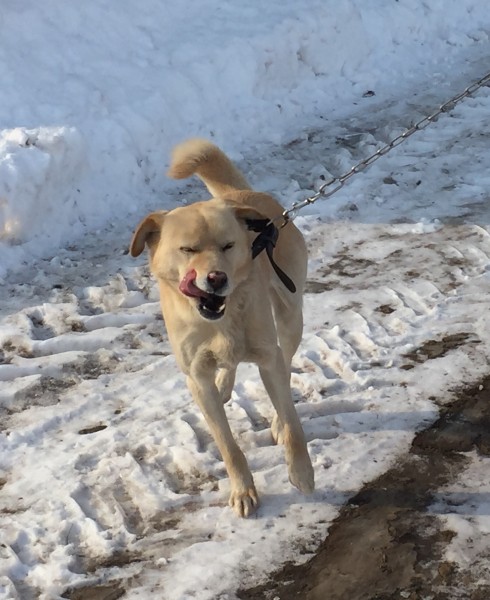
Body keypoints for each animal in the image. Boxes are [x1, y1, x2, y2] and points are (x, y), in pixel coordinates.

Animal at [130, 139, 314, 516]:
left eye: (228, 245)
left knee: (286, 363)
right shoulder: (196, 379)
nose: (216, 278)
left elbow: (291, 420)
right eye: (187, 249)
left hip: (290, 316)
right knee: (230, 365)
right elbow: (228, 445)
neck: (221, 320)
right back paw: (225, 382)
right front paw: (243, 490)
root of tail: (239, 195)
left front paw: (301, 471)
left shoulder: (268, 358)